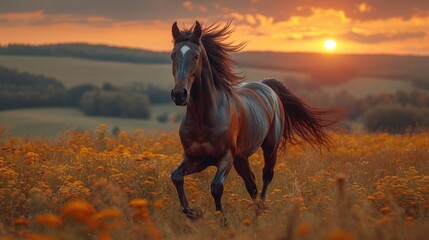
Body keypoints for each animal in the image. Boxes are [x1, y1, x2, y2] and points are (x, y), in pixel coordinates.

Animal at [169, 20, 336, 219]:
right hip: (241, 158)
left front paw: (222, 220)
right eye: (172, 55)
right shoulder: (195, 158)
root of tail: (266, 86)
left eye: (196, 56)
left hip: (269, 148)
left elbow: (217, 187)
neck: (203, 119)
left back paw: (260, 211)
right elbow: (176, 176)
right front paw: (192, 213)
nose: (179, 94)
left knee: (266, 176)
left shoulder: (226, 157)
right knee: (252, 184)